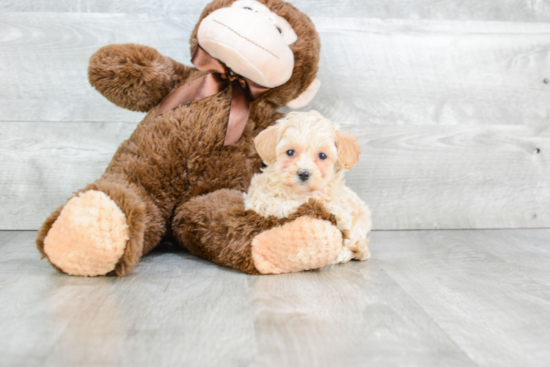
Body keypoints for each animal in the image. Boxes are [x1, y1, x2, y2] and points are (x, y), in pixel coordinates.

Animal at [247, 110, 374, 264]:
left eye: (322, 155)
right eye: (290, 152)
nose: (303, 173)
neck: (303, 193)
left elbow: (346, 226)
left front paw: (340, 217)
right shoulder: (257, 198)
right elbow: (274, 203)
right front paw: (292, 206)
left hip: (363, 216)